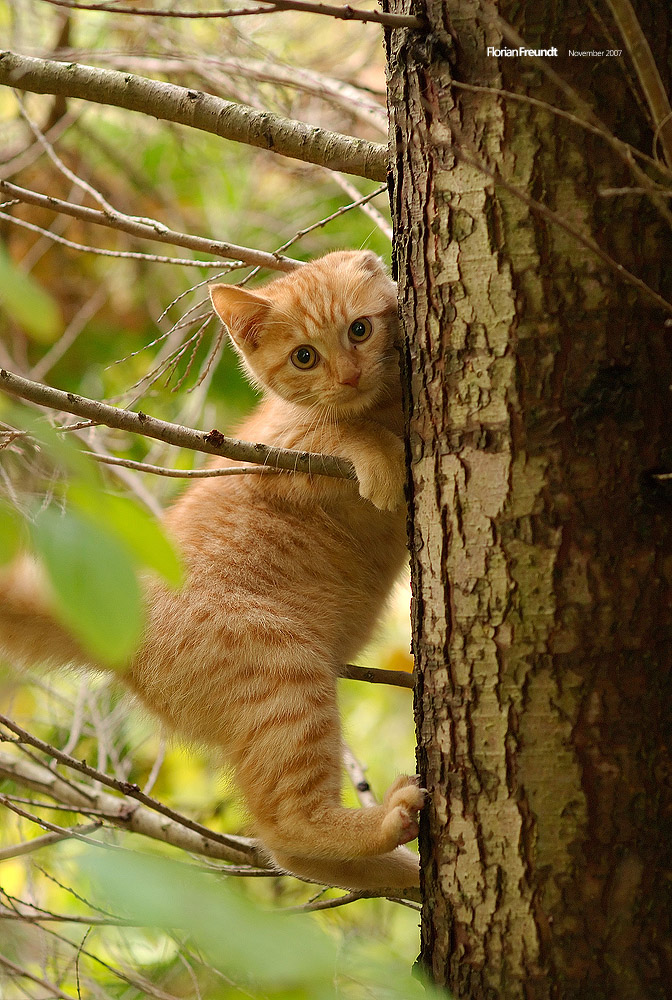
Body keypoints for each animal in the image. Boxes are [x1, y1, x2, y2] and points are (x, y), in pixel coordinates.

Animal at [0, 252, 420, 892]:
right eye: (304, 356)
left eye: (360, 330)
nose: (348, 376)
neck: (382, 402)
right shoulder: (275, 453)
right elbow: (340, 429)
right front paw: (379, 457)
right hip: (283, 675)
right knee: (285, 826)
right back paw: (389, 824)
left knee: (290, 853)